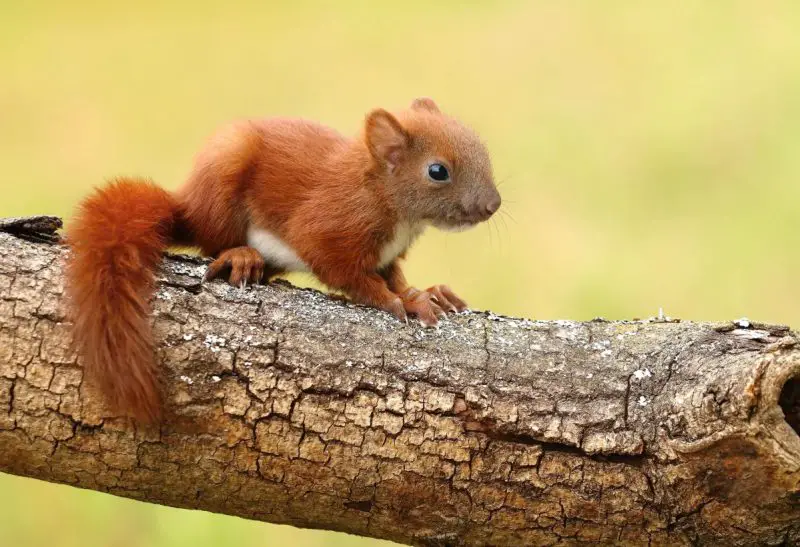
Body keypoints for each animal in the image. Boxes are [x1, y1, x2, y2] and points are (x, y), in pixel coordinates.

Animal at [65, 97, 501, 423]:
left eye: (482, 149)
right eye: (438, 170)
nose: (493, 205)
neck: (394, 210)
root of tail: (186, 205)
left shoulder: (387, 254)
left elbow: (395, 276)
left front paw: (425, 295)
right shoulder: (327, 228)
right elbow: (349, 273)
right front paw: (391, 301)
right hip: (224, 175)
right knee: (212, 242)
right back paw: (240, 255)